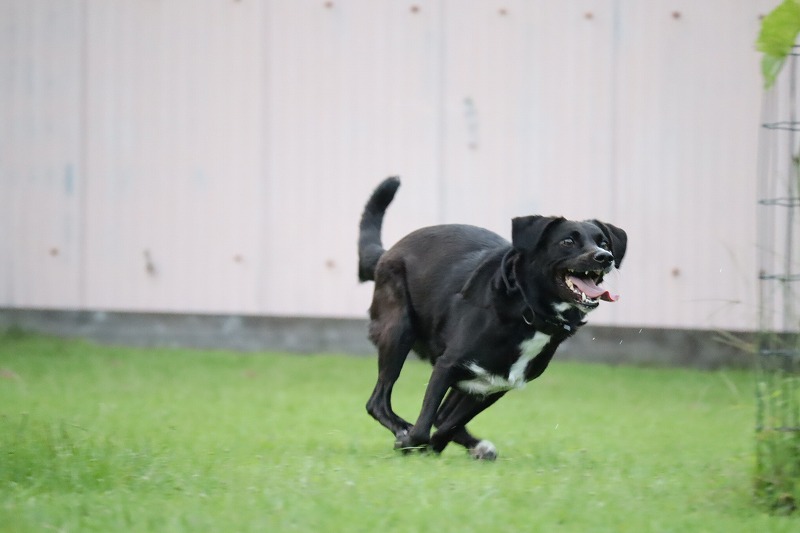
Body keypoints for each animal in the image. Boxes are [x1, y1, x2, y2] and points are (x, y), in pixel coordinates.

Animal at [358, 177, 627, 460]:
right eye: (567, 242)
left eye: (604, 243)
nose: (605, 257)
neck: (527, 310)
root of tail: (387, 253)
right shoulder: (446, 366)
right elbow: (424, 428)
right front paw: (409, 441)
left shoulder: (494, 387)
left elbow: (447, 427)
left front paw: (431, 447)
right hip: (398, 332)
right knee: (377, 402)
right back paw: (402, 429)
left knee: (441, 417)